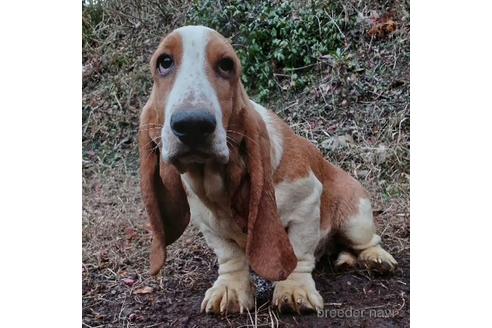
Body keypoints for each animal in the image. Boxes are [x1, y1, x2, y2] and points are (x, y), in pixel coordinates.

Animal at [137, 26, 396, 316]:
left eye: (226, 64)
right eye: (164, 62)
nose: (192, 124)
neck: (218, 184)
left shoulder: (306, 203)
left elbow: (298, 254)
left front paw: (294, 290)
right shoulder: (209, 225)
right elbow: (229, 256)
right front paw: (230, 290)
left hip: (356, 219)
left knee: (367, 241)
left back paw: (376, 258)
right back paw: (345, 259)